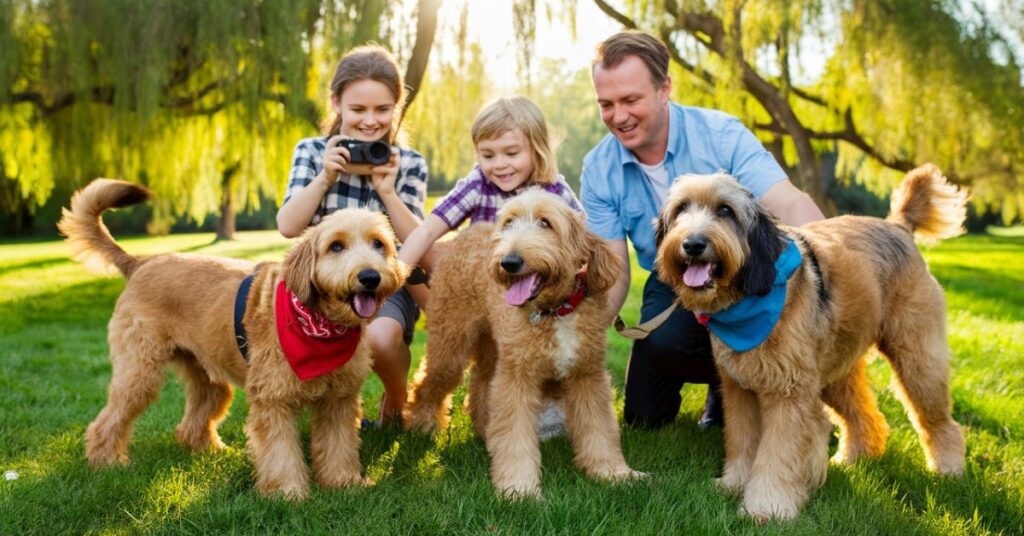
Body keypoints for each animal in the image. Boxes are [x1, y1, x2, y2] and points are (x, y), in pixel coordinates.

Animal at [58, 179, 405, 500]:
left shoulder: (338, 402)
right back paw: (106, 460)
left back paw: (209, 449)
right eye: (336, 246)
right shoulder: (273, 402)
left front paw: (344, 482)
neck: (318, 324)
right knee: (108, 419)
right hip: (138, 373)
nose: (370, 277)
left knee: (193, 419)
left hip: (207, 378)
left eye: (379, 244)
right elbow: (280, 453)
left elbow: (338, 447)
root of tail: (141, 262)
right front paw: (287, 493)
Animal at [405, 188, 638, 500]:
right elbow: (515, 435)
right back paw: (423, 425)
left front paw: (613, 473)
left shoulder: (587, 375)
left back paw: (484, 428)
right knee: (427, 383)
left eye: (545, 223)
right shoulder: (518, 377)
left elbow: (599, 428)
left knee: (481, 382)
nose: (509, 262)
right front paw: (520, 489)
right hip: (451, 343)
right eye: (508, 223)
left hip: (494, 347)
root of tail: (462, 236)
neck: (555, 311)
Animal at [655, 166, 966, 522]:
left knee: (937, 419)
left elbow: (778, 454)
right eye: (681, 209)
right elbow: (742, 441)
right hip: (835, 375)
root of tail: (897, 226)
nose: (693, 244)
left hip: (917, 361)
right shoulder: (740, 391)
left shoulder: (788, 396)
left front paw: (768, 505)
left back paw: (948, 467)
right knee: (864, 416)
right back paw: (855, 458)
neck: (749, 299)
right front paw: (733, 483)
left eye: (725, 210)